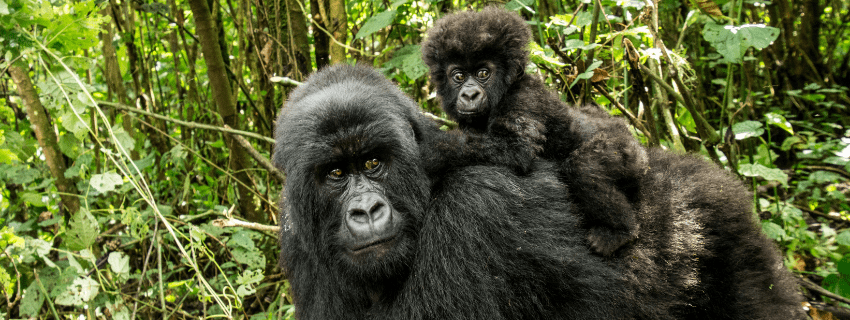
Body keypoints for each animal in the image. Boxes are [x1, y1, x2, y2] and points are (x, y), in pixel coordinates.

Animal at [420, 6, 644, 255]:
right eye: (458, 76)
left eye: (483, 73)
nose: (469, 95)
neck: (506, 89)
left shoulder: (524, 97)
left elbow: (517, 147)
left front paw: (430, 149)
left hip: (627, 150)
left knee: (585, 167)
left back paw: (620, 231)